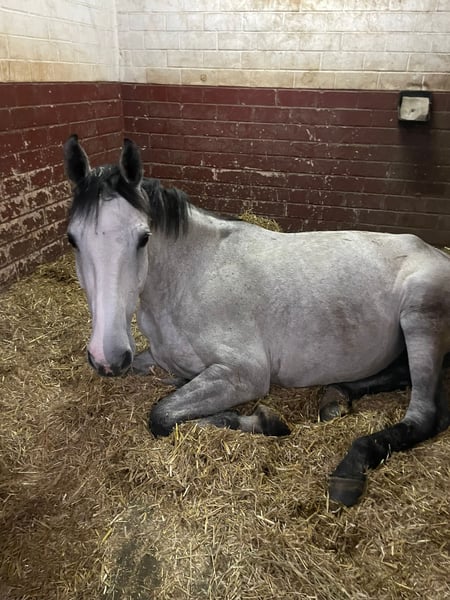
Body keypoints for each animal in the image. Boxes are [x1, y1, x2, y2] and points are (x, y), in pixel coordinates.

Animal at [63, 134, 450, 507]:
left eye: (144, 237)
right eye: (72, 239)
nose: (108, 357)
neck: (193, 276)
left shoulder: (243, 374)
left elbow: (163, 416)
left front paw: (266, 420)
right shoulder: (160, 359)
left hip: (421, 320)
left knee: (423, 415)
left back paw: (349, 472)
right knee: (397, 375)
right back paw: (335, 399)